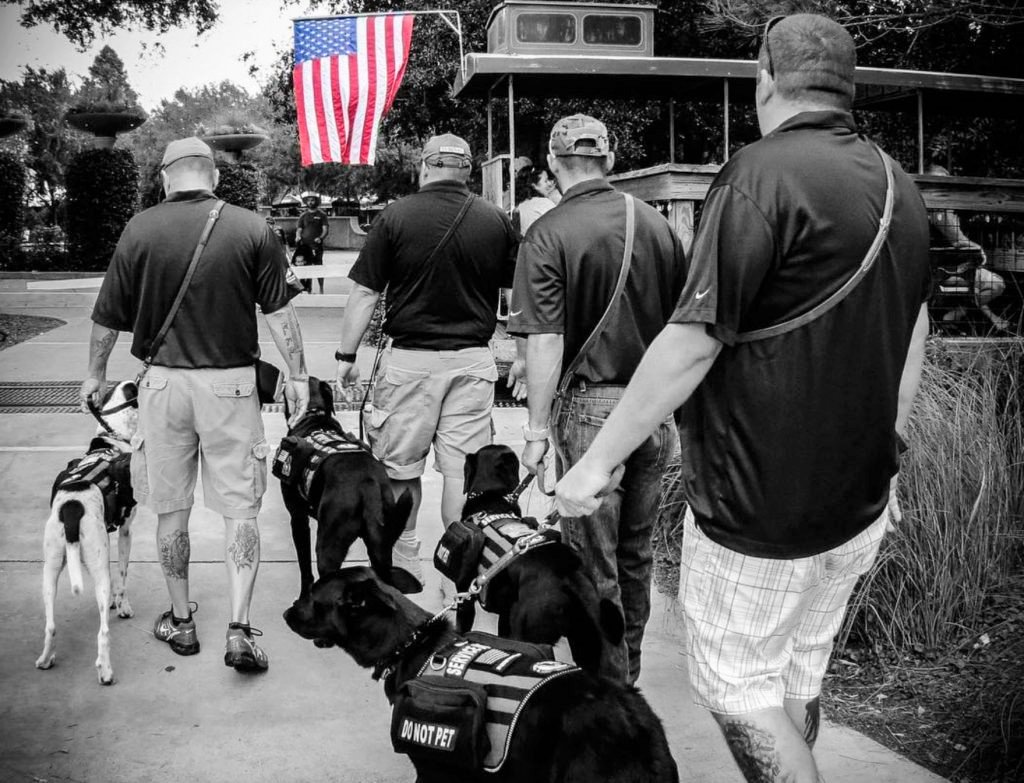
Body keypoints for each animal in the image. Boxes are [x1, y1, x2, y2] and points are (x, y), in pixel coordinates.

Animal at [35, 380, 139, 683]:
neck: (110, 436)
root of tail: (72, 509)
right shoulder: (126, 530)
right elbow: (122, 576)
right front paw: (123, 605)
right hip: (97, 566)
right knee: (103, 630)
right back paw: (106, 671)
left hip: (50, 568)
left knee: (51, 625)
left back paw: (45, 659)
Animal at [278, 376, 417, 597]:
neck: (313, 414)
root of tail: (367, 483)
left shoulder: (297, 517)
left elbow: (304, 566)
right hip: (382, 546)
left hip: (328, 547)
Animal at [454, 446, 626, 679]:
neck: (490, 495)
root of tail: (567, 573)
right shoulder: (505, 615)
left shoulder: (465, 597)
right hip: (586, 642)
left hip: (526, 632)